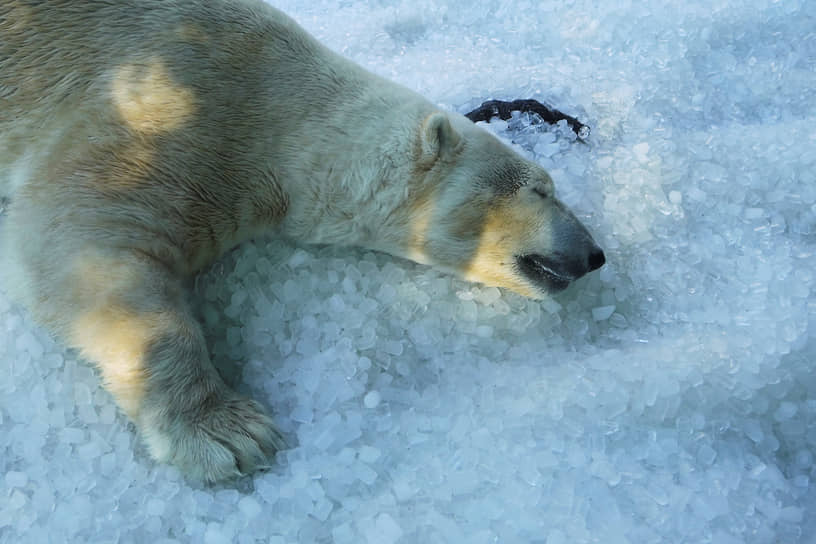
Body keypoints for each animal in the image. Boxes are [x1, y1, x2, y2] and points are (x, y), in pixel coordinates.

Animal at [0, 0, 604, 483]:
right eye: (541, 188)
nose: (595, 255)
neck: (275, 102)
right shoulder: (164, 102)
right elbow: (75, 232)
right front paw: (228, 433)